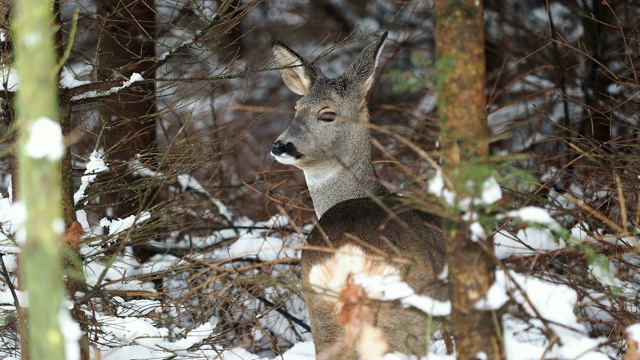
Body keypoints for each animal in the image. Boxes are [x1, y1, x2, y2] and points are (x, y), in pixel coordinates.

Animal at [270, 32, 450, 358]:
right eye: (297, 107)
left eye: (327, 114)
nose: (280, 145)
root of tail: (349, 255)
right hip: (403, 315)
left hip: (322, 316)